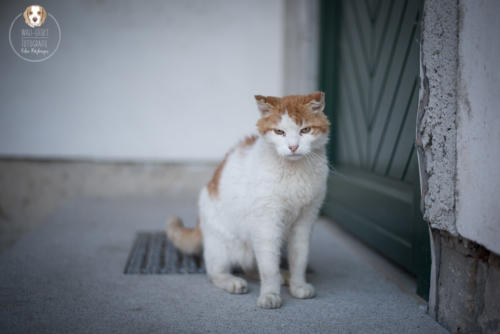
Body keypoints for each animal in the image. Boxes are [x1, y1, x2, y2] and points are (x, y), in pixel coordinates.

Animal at [168, 90, 330, 308]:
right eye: (279, 132)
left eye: (305, 130)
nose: (293, 147)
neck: (294, 172)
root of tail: (200, 224)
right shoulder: (267, 224)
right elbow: (268, 268)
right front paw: (270, 294)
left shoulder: (305, 221)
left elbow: (299, 258)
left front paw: (298, 285)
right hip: (224, 246)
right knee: (216, 272)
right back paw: (232, 282)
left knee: (252, 266)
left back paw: (284, 276)